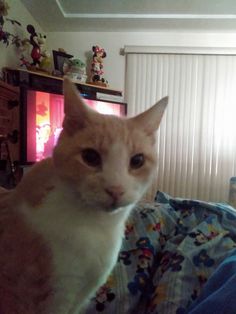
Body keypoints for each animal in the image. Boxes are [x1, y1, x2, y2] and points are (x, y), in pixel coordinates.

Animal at [0, 76, 168, 314]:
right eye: (90, 157)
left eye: (137, 161)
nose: (115, 189)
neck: (95, 227)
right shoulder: (56, 296)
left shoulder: (82, 295)